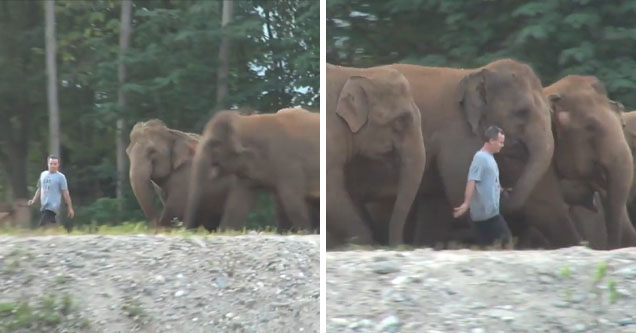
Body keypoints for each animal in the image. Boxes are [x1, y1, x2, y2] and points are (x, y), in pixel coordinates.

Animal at [125, 118, 255, 230]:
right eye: (127, 152)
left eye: (152, 151)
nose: (155, 224)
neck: (172, 132)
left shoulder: (187, 173)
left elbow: (175, 205)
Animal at [186, 106, 320, 231]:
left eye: (215, 143)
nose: (186, 229)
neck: (245, 121)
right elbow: (236, 203)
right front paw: (226, 231)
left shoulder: (288, 163)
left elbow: (291, 198)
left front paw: (305, 232)